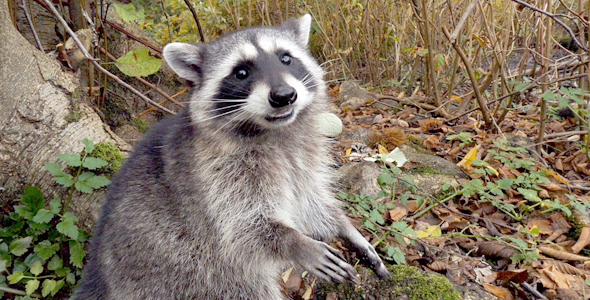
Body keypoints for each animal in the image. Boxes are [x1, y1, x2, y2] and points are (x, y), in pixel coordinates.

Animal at [71, 14, 390, 300]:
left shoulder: (302, 157)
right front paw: (296, 243)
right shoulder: (217, 174)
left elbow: (310, 199)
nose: (284, 95)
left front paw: (345, 227)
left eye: (286, 59)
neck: (275, 132)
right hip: (197, 274)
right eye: (241, 73)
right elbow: (243, 228)